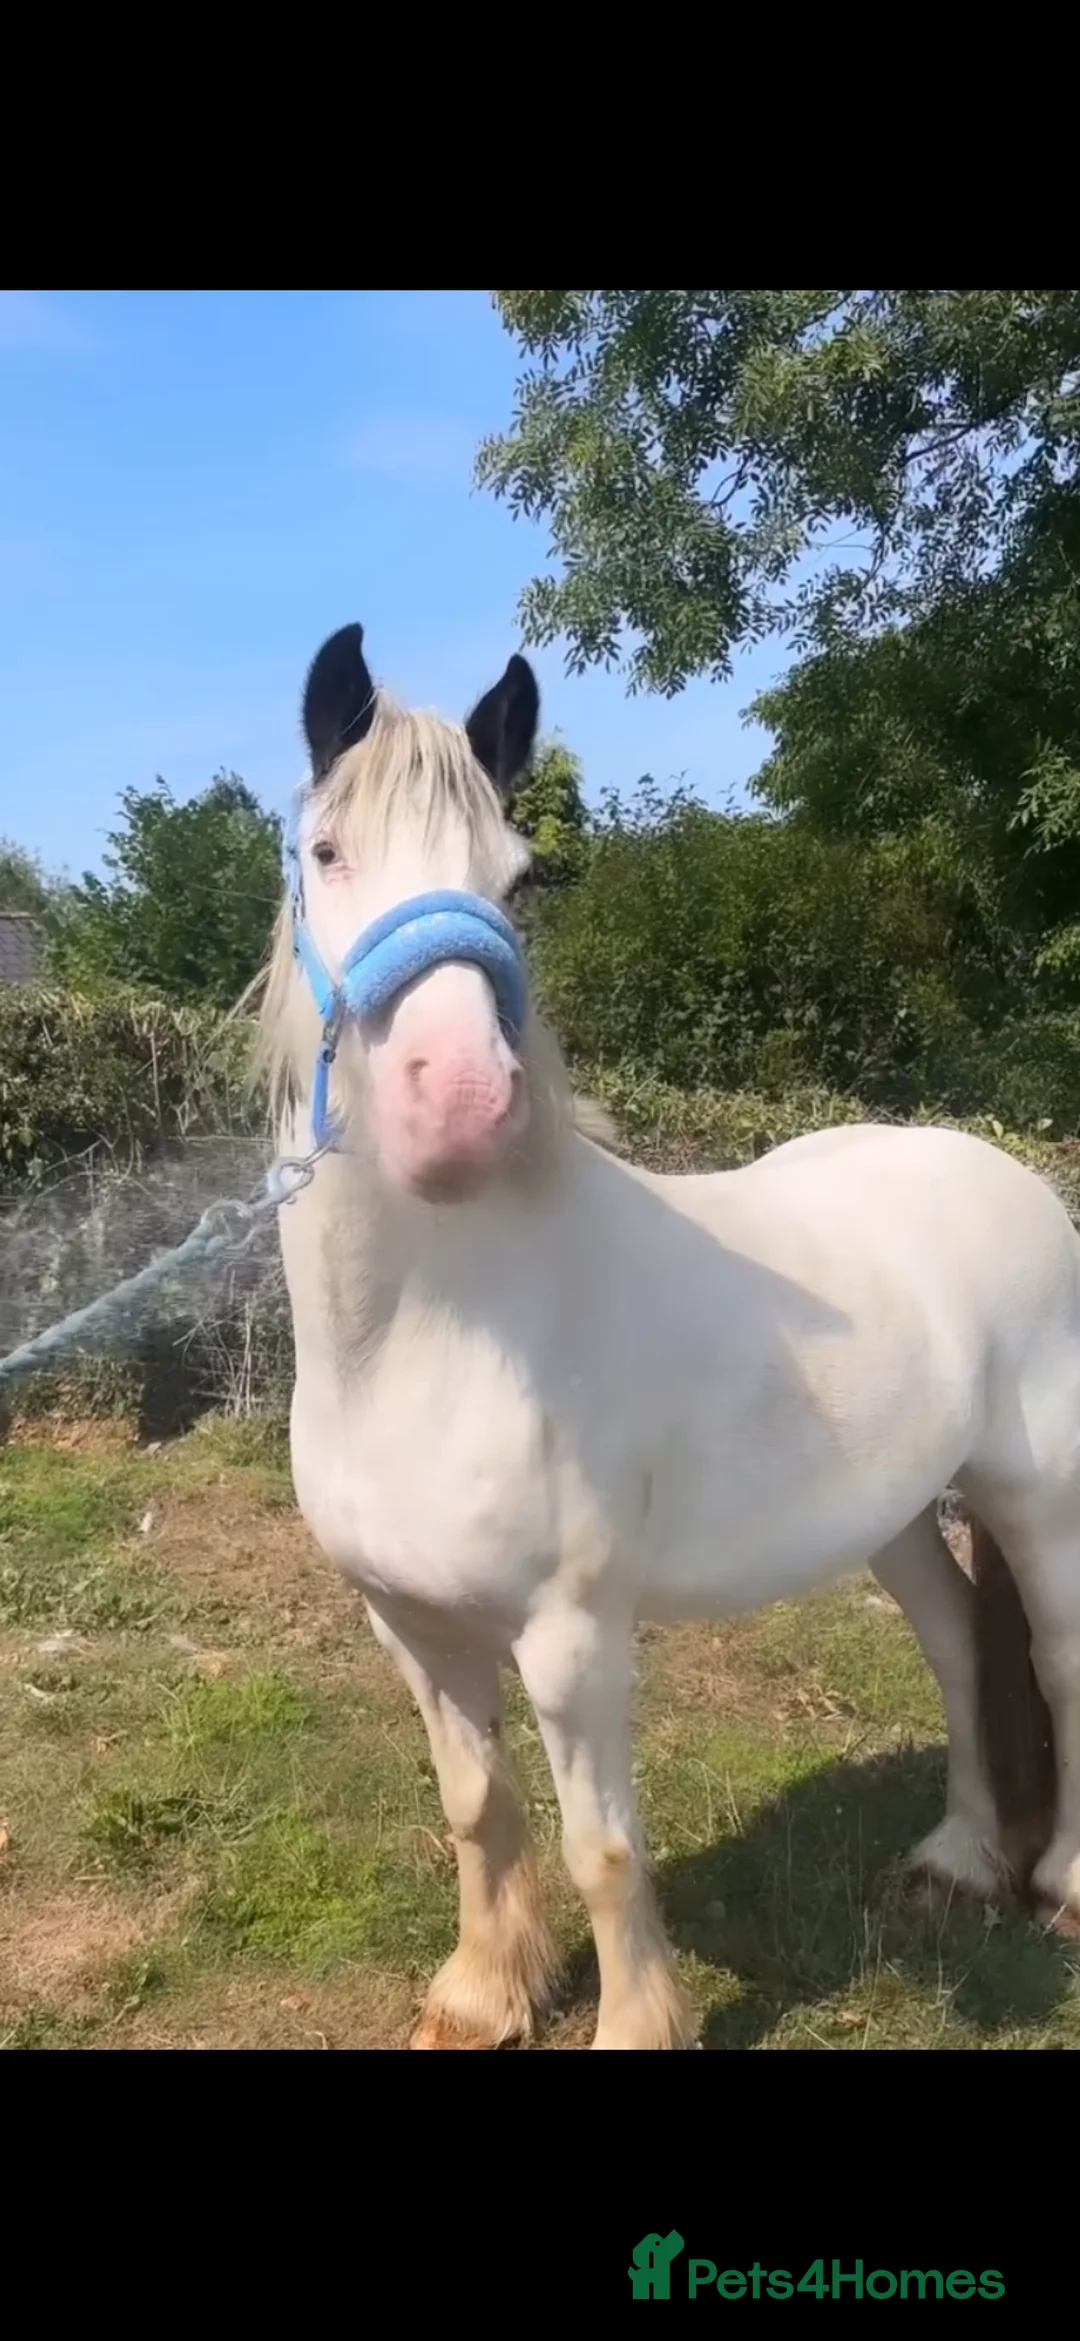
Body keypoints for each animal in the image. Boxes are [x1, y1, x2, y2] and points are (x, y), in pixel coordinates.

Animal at [255, 619, 1072, 2051]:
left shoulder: (573, 1641)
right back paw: (961, 1861)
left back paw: (1064, 1883)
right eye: (327, 851)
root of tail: (1004, 1173)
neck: (427, 1347)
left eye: (520, 880)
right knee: (963, 1649)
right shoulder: (409, 1627)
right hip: (898, 1515)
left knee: (1063, 1665)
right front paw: (480, 1996)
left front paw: (634, 2023)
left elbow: (604, 1849)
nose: (458, 1102)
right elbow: (479, 1808)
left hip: (1039, 1500)